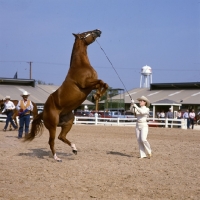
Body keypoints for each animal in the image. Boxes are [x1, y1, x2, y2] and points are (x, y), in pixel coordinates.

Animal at [25, 29, 109, 161]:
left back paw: (74, 149)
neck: (80, 65)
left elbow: (104, 84)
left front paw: (97, 96)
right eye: (86, 32)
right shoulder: (86, 84)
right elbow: (101, 82)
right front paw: (96, 96)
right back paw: (57, 158)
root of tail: (43, 112)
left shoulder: (91, 85)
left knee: (61, 137)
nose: (98, 30)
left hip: (68, 122)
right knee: (52, 141)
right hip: (52, 126)